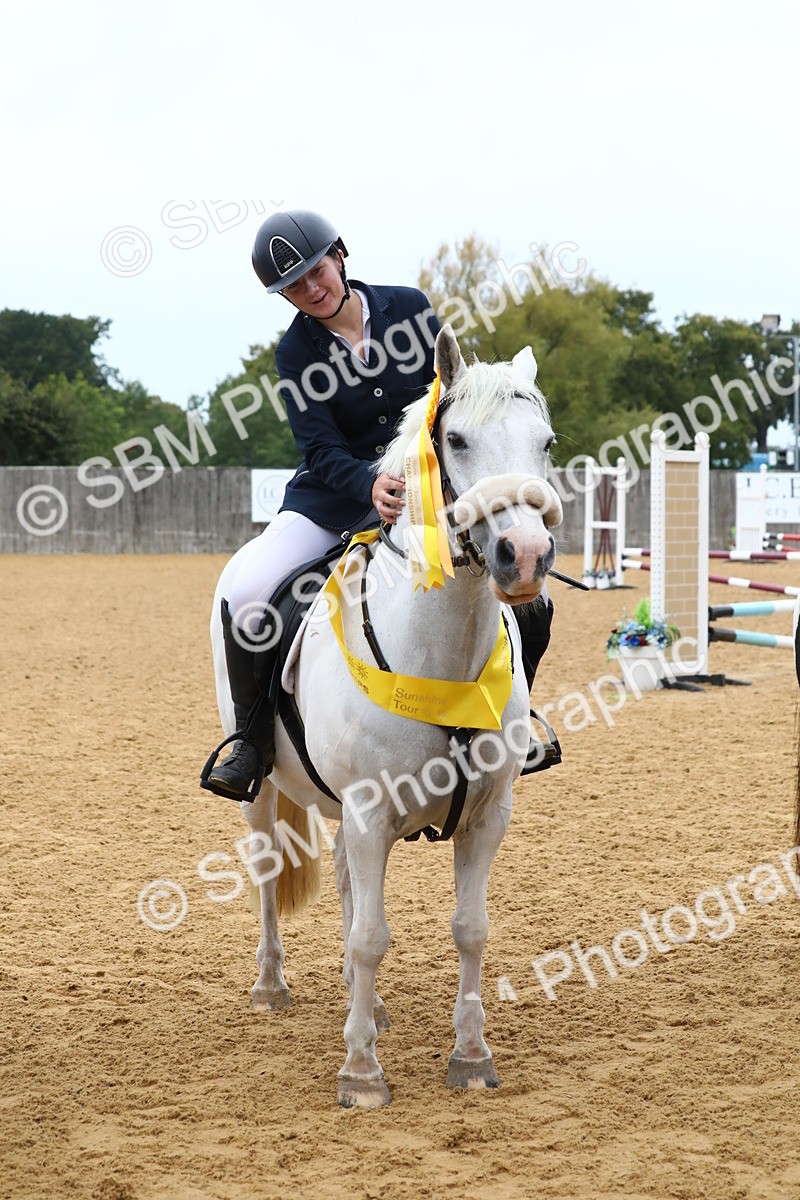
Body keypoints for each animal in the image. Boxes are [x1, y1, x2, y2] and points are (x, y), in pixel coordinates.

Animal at [209, 323, 562, 1108]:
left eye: (547, 442)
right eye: (455, 439)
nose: (524, 555)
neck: (441, 655)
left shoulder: (488, 814)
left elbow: (469, 929)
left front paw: (470, 1057)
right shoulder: (370, 811)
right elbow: (373, 936)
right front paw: (362, 1074)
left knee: (345, 882)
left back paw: (364, 1001)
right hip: (264, 792)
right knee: (268, 870)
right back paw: (272, 986)